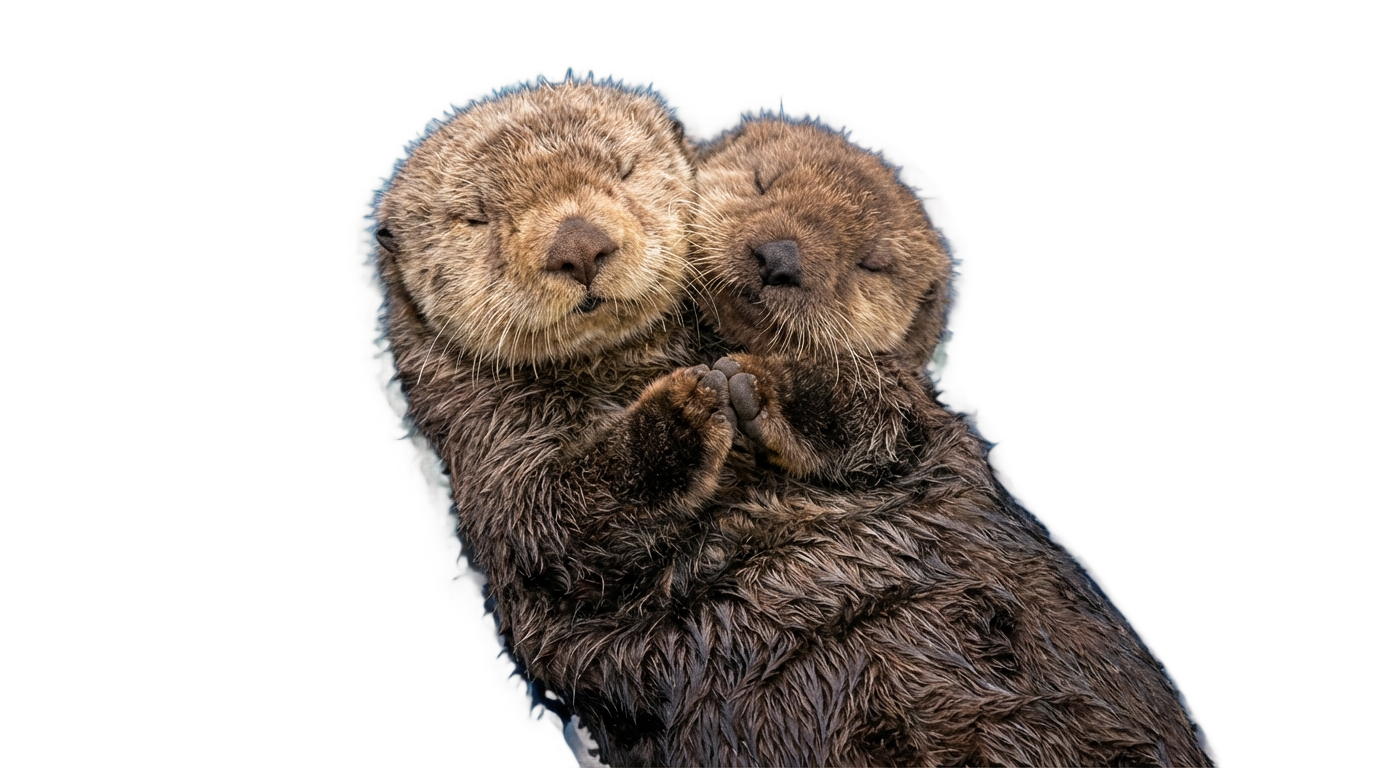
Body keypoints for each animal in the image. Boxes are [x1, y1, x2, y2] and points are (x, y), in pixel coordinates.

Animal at [686, 117, 1212, 766]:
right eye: (764, 180)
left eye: (871, 263)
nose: (778, 257)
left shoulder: (904, 402)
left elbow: (867, 414)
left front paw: (757, 383)